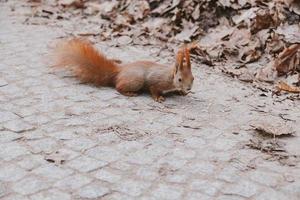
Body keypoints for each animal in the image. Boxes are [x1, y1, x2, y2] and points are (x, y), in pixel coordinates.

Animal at [52, 38, 193, 102]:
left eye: (193, 78)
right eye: (180, 79)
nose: (189, 88)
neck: (169, 76)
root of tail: (119, 71)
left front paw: (181, 92)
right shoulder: (156, 81)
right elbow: (153, 89)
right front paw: (158, 98)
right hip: (136, 81)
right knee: (118, 87)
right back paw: (129, 93)